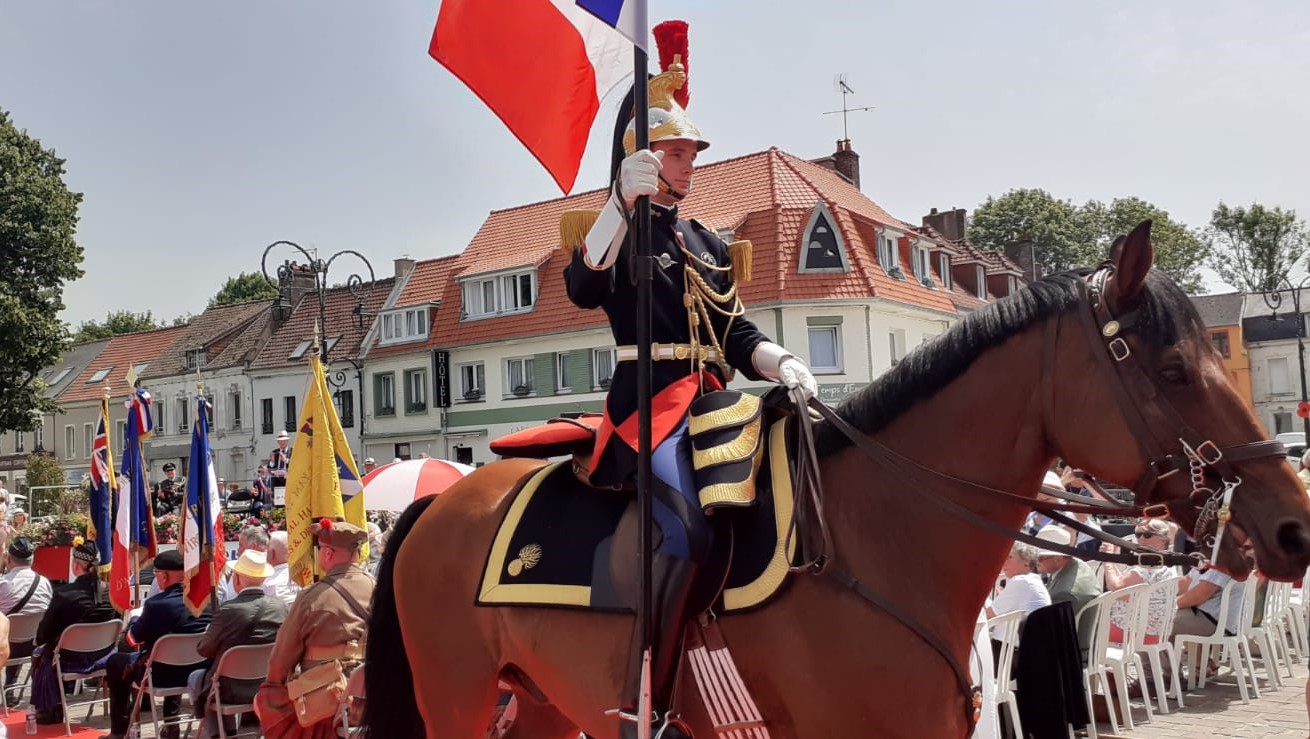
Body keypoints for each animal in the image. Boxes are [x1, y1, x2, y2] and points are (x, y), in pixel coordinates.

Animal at [358, 221, 1310, 739]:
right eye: (1173, 369)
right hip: (456, 694)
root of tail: (440, 503)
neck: (878, 543)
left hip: (548, 699)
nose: (1293, 526)